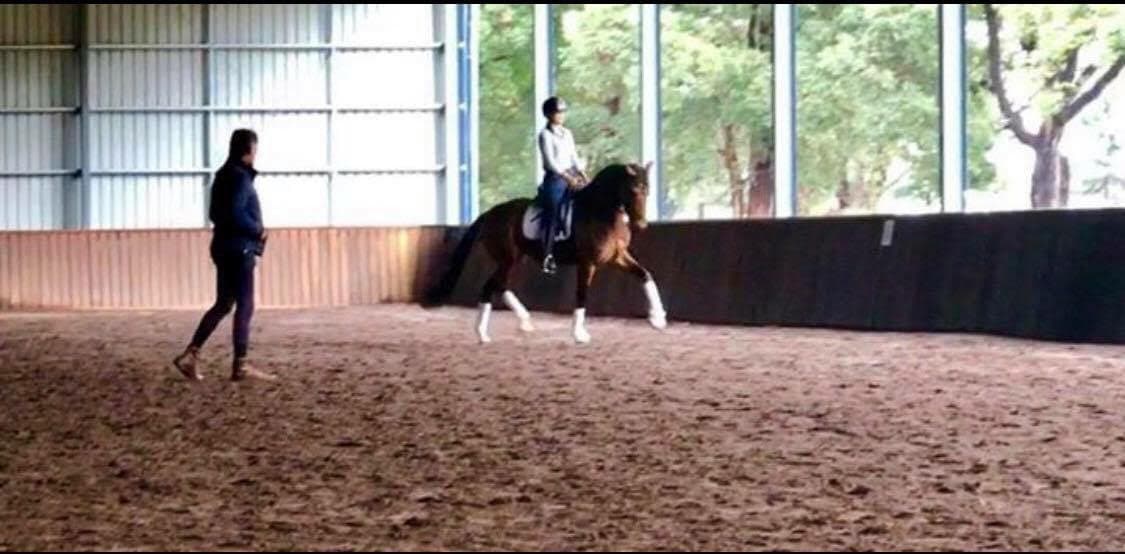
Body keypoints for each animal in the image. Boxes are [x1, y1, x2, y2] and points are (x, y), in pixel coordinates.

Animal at [423, 162, 668, 344]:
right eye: (633, 190)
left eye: (647, 190)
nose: (642, 224)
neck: (601, 213)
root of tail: (490, 213)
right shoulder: (587, 262)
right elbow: (581, 294)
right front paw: (579, 334)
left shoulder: (617, 257)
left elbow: (645, 275)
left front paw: (658, 319)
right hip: (508, 259)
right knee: (490, 286)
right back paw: (483, 333)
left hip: (515, 260)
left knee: (500, 285)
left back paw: (524, 321)